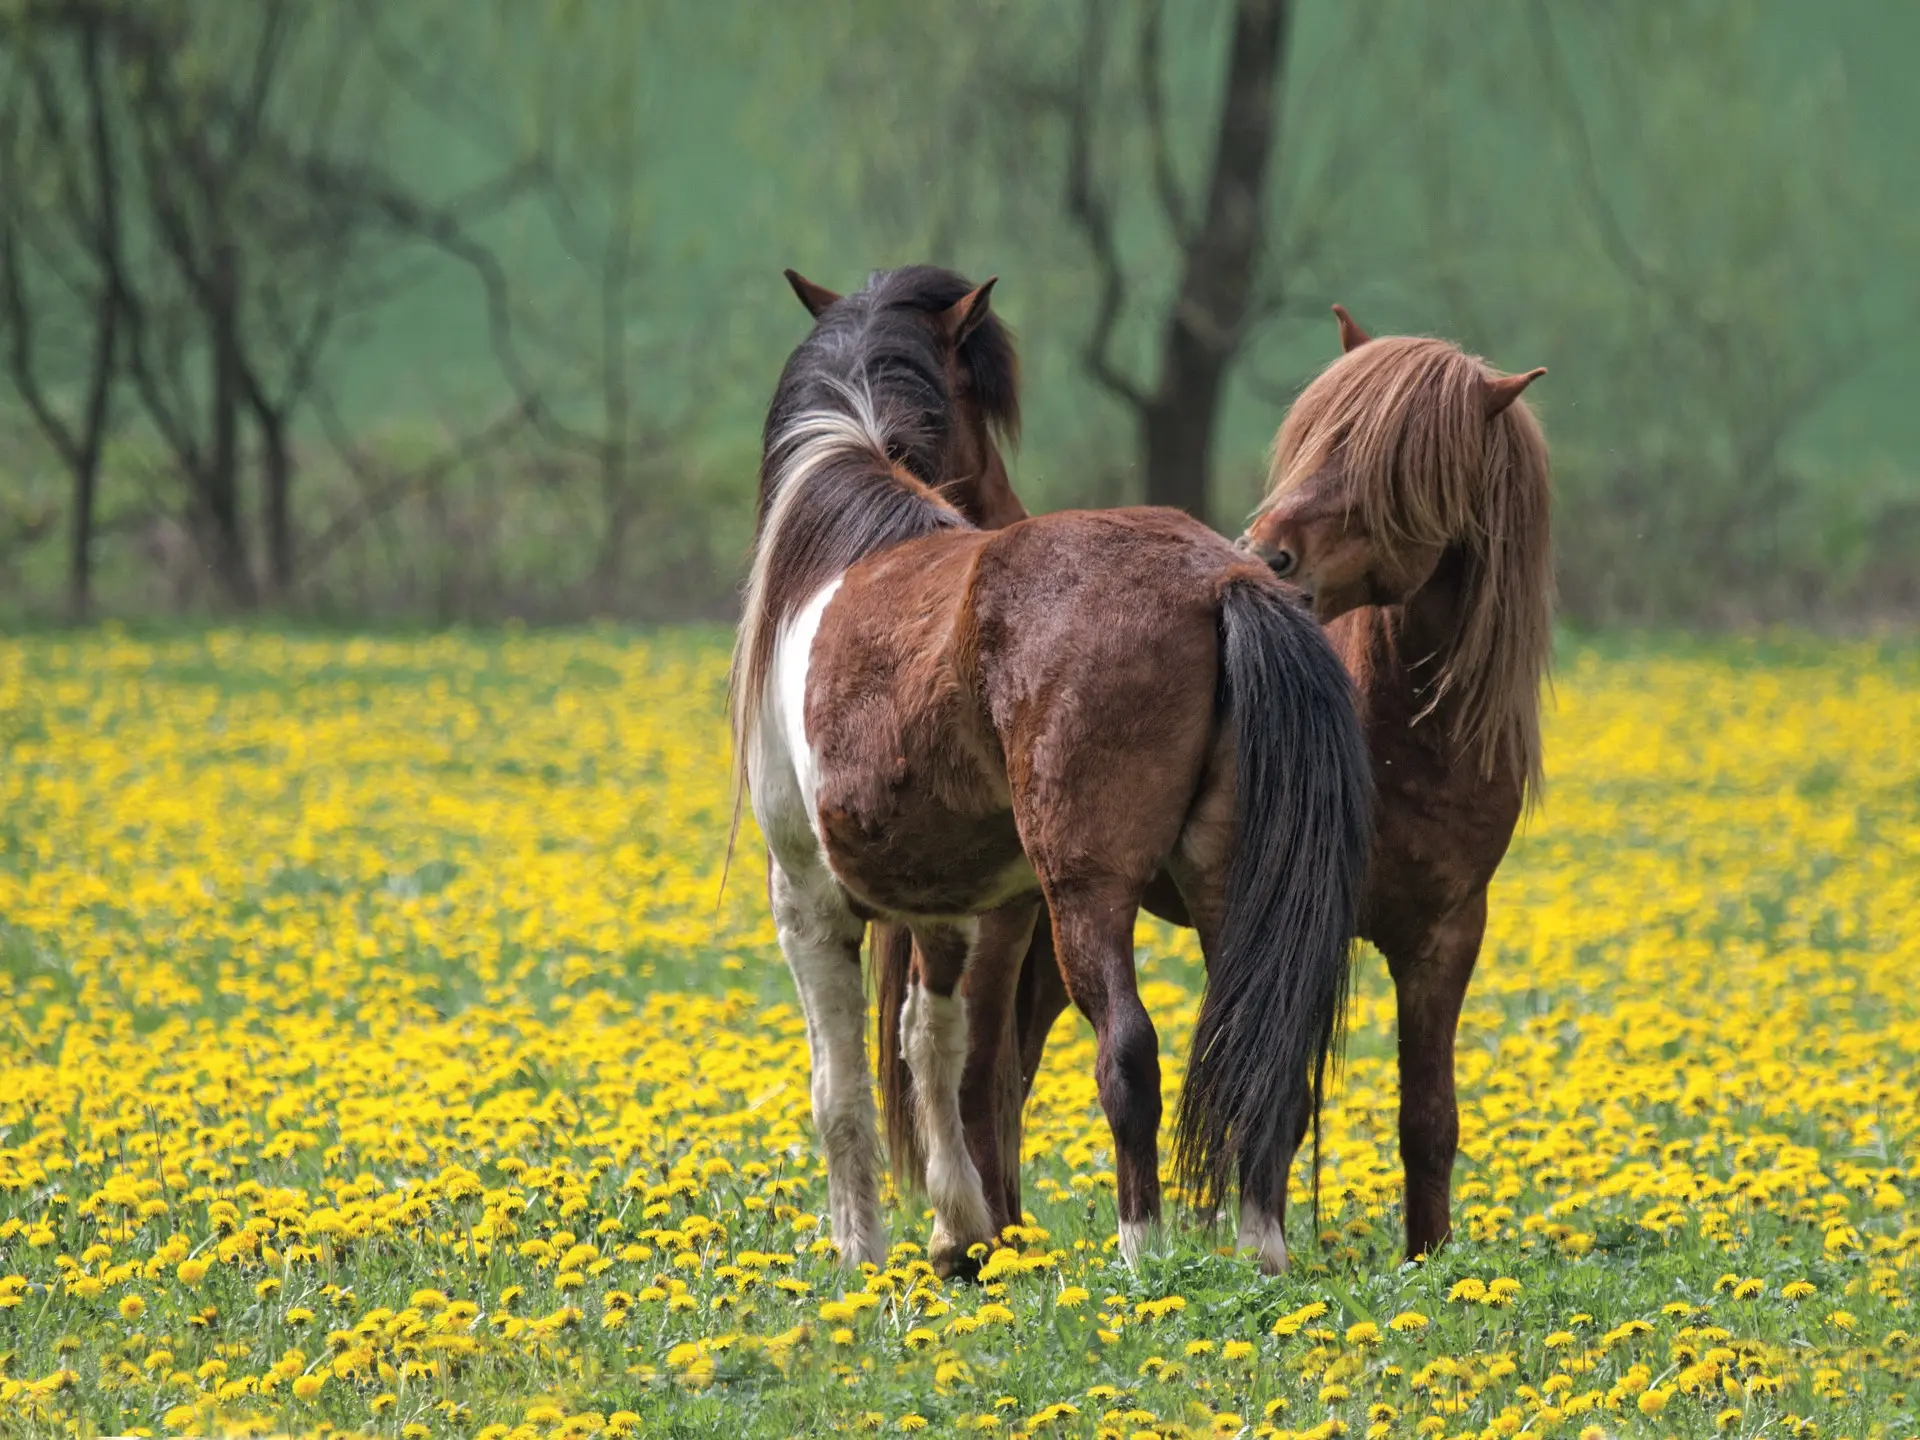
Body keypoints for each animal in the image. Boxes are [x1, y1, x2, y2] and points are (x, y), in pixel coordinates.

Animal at [737, 268, 1382, 1274]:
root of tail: (1223, 582)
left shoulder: (806, 896)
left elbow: (840, 1086)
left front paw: (861, 1250)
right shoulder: (957, 908)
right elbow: (939, 1047)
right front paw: (960, 1231)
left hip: (1087, 895)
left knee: (1129, 1051)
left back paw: (1142, 1252)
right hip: (1225, 884)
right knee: (1256, 1048)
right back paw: (1261, 1251)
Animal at [879, 305, 1551, 1259]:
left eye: (1397, 467)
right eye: (1311, 440)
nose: (1265, 553)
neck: (1407, 741)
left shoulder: (1445, 939)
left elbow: (1426, 1119)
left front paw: (1426, 1258)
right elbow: (1275, 1087)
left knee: (1010, 1070)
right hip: (1011, 919)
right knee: (981, 1070)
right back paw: (982, 1242)